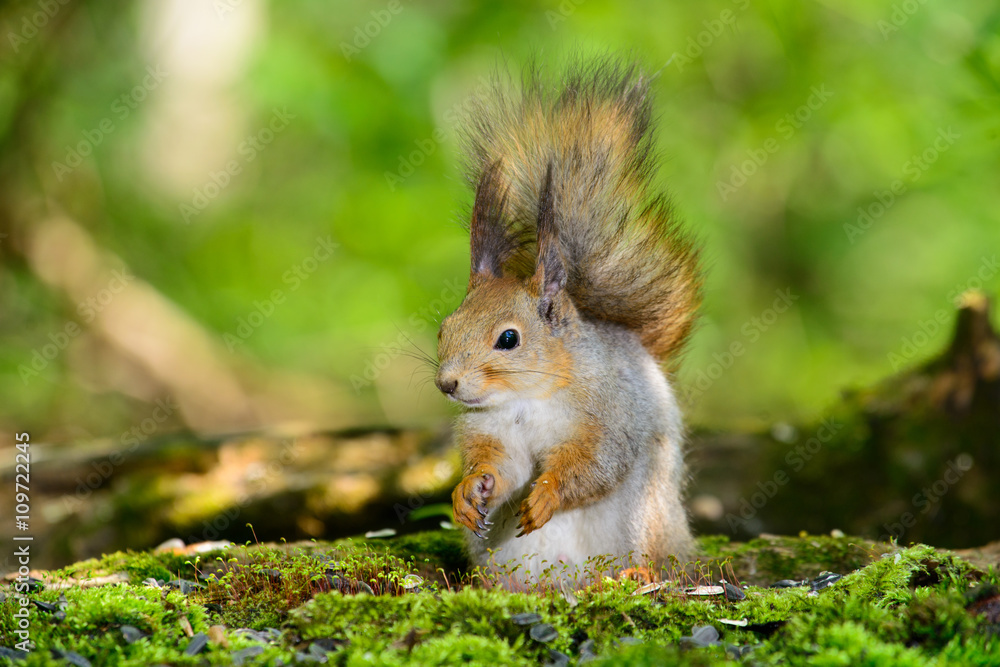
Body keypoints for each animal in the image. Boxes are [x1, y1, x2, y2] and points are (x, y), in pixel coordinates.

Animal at [434, 58, 701, 587]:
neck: (527, 397)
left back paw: (635, 575)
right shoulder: (493, 431)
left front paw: (548, 495)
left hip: (644, 516)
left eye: (509, 339)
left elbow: (596, 464)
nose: (447, 383)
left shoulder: (612, 414)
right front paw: (469, 488)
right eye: (444, 329)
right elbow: (502, 468)